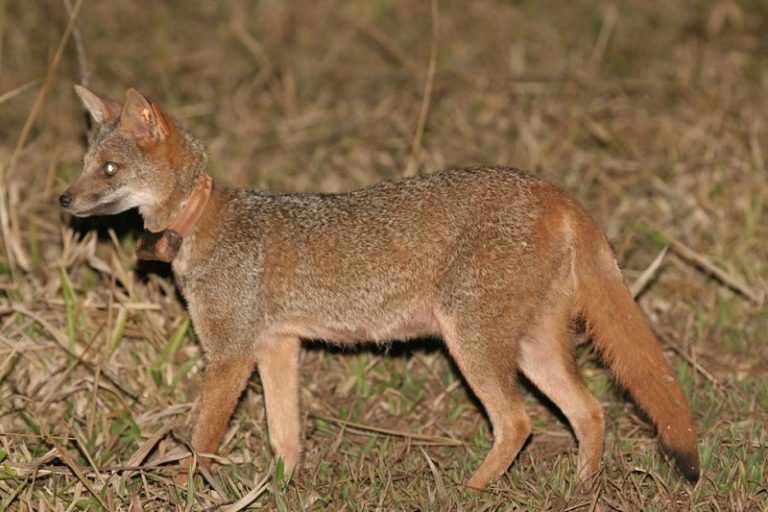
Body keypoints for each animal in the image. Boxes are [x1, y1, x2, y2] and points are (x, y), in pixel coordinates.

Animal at [60, 86, 700, 490]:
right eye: (86, 163)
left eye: (109, 170)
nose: (64, 199)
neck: (200, 220)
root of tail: (554, 190)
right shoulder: (277, 347)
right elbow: (285, 436)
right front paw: (281, 488)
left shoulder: (229, 354)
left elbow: (201, 438)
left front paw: (187, 488)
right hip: (529, 348)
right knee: (590, 411)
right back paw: (581, 489)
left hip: (473, 345)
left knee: (519, 423)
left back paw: (470, 492)